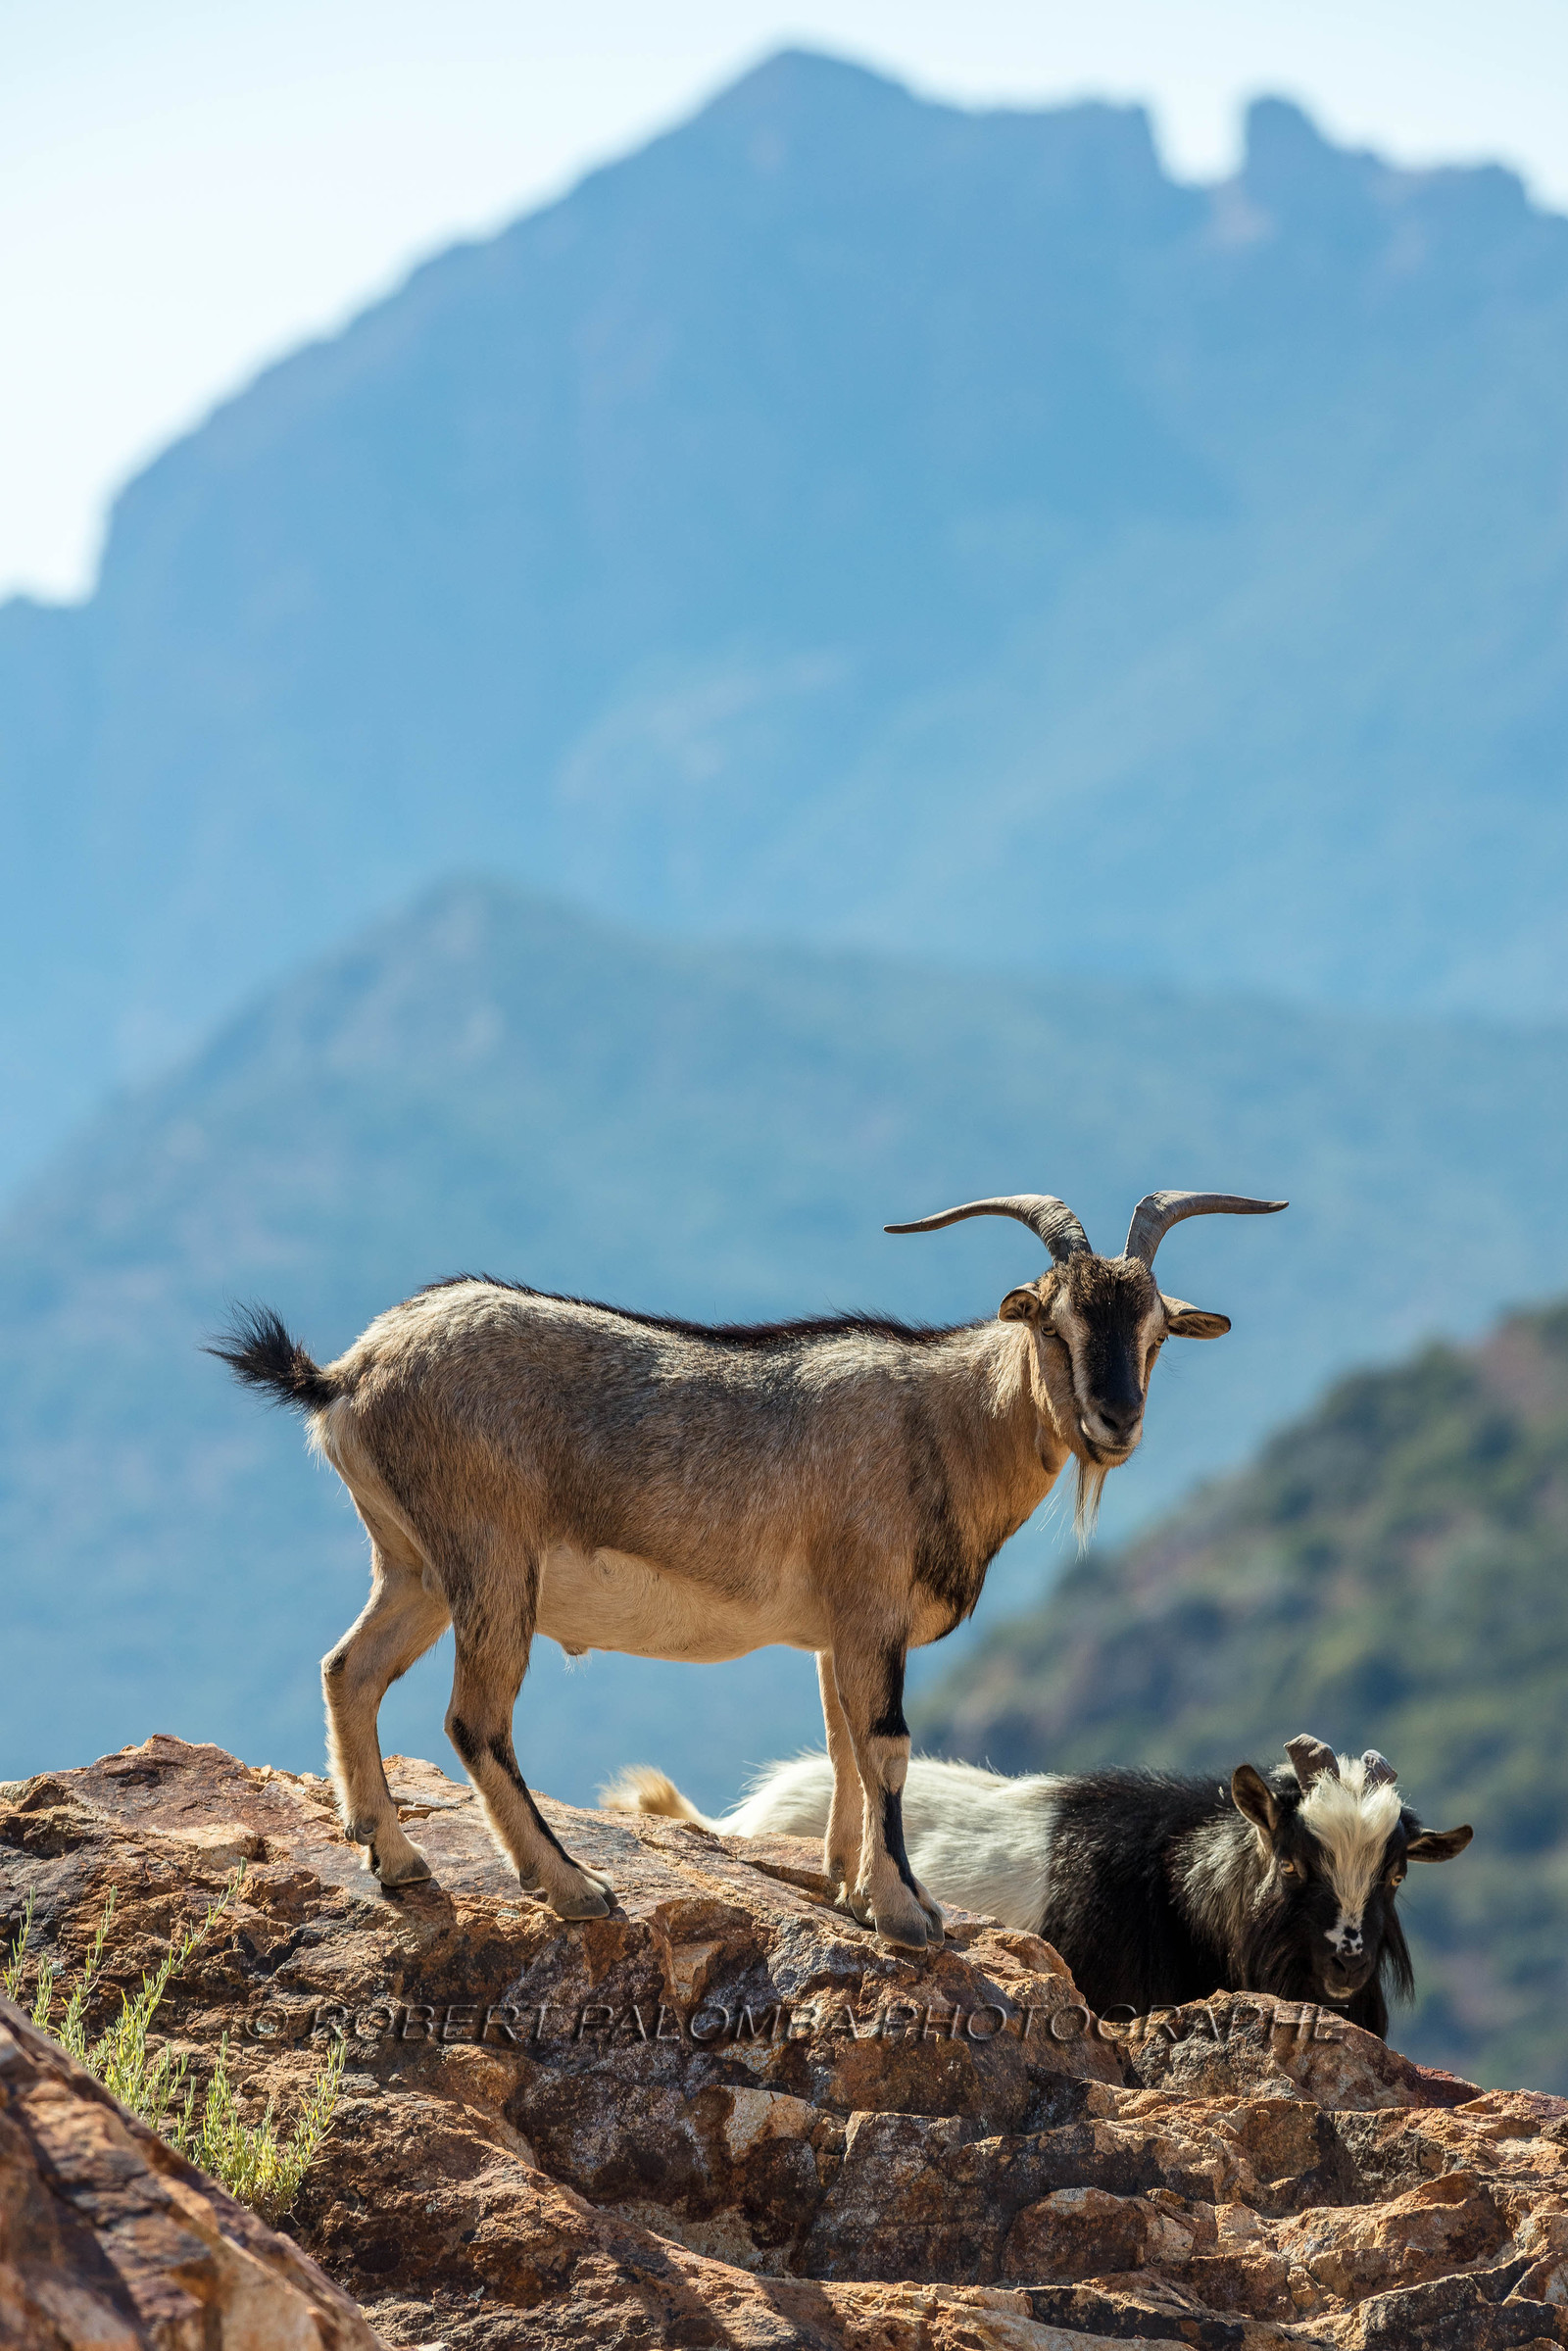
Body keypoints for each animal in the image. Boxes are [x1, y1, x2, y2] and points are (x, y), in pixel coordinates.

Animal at [211, 1184, 1283, 1948]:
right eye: (1052, 1322)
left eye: (1153, 1327)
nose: (1115, 1418)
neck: (941, 1421)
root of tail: (348, 1373)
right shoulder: (871, 1608)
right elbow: (887, 1746)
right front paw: (910, 1912)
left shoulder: (837, 1632)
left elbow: (845, 1746)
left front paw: (847, 1888)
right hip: (490, 1560)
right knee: (474, 1718)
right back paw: (573, 1885)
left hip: (415, 1565)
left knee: (349, 1669)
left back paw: (396, 1858)